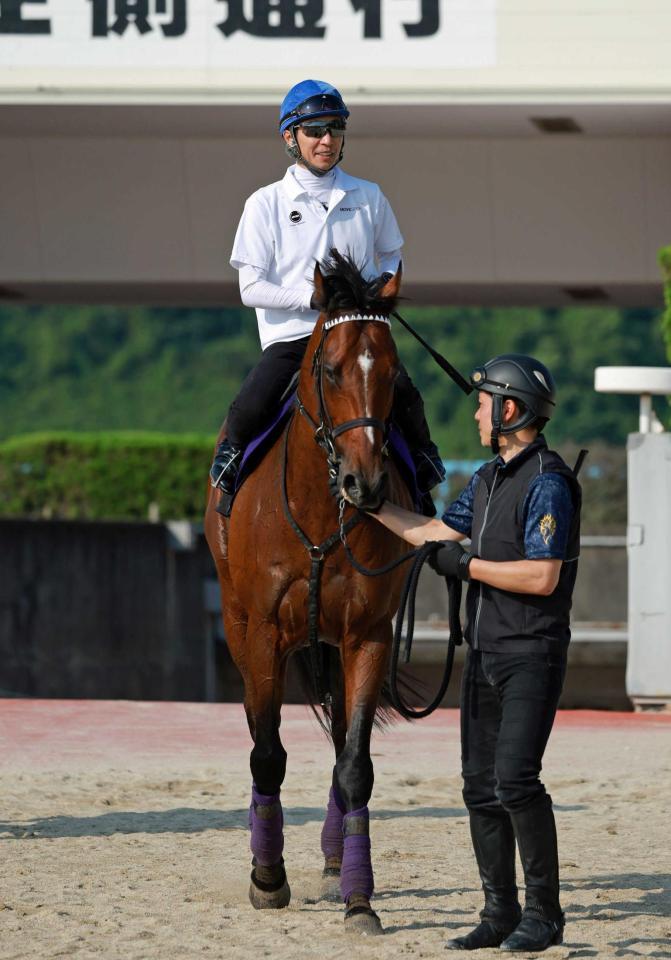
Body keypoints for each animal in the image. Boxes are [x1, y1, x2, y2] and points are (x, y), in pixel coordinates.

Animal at [203, 251, 414, 932]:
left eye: (394, 372)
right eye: (329, 367)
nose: (366, 482)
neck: (322, 512)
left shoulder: (366, 634)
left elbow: (355, 764)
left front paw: (358, 898)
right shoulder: (265, 634)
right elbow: (266, 753)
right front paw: (267, 879)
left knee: (345, 732)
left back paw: (332, 858)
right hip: (242, 632)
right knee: (259, 732)